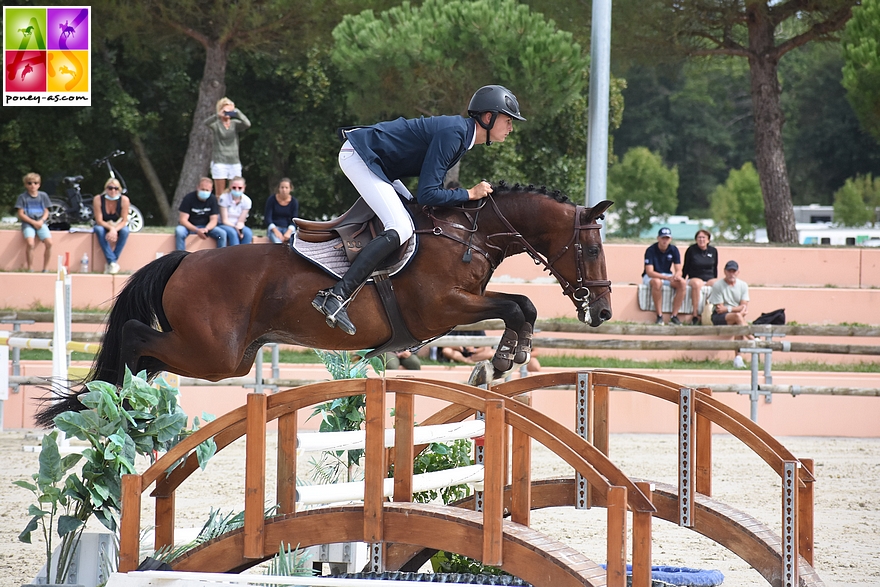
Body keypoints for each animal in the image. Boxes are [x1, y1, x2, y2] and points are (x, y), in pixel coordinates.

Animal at [34, 185, 612, 428]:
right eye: (589, 249)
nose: (603, 313)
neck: (465, 233)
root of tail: (185, 259)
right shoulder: (445, 307)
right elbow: (517, 305)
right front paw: (501, 360)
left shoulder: (457, 308)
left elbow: (521, 307)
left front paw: (503, 360)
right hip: (214, 353)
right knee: (135, 336)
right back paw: (118, 400)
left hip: (226, 357)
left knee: (148, 351)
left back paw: (126, 400)